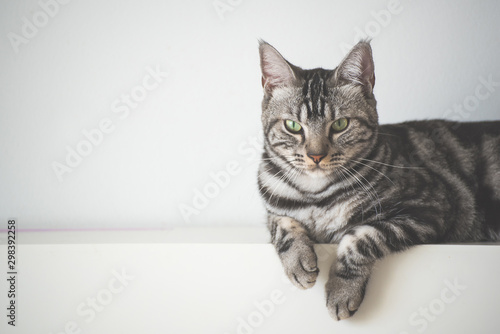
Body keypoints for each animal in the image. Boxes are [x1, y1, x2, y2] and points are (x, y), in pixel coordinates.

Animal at [258, 39, 500, 320]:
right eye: (293, 126)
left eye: (340, 124)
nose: (316, 156)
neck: (316, 195)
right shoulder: (273, 205)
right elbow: (280, 223)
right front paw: (298, 261)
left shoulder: (431, 207)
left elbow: (361, 238)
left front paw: (342, 290)